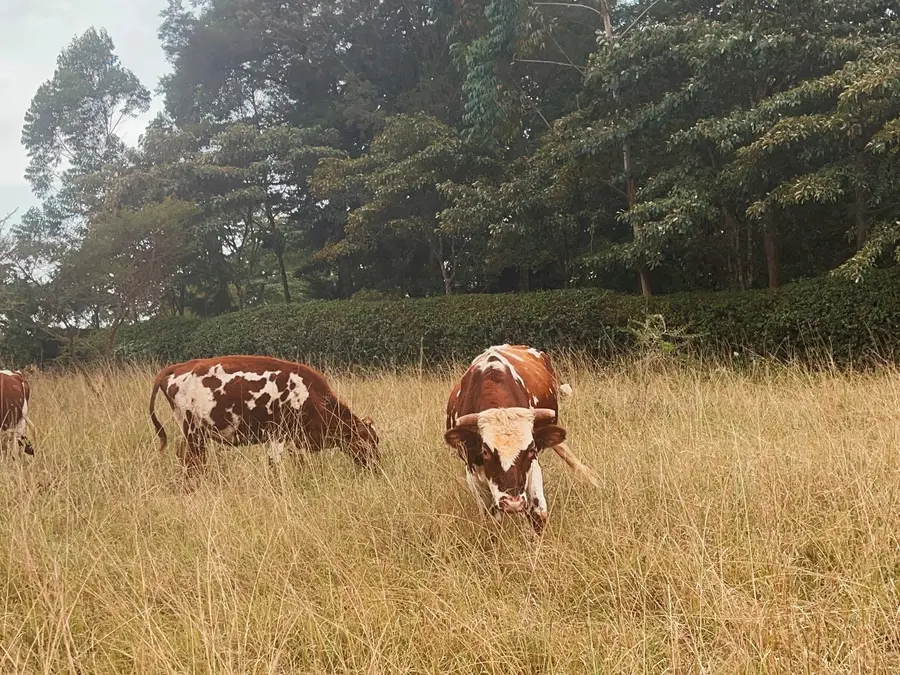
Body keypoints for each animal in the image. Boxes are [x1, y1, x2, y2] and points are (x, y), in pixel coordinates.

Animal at [149, 355, 380, 475]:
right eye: (365, 441)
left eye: (376, 440)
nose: (377, 467)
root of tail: (178, 368)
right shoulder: (277, 434)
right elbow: (275, 464)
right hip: (194, 433)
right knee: (193, 461)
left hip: (192, 435)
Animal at [444, 344, 598, 532]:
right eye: (485, 452)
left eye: (530, 450)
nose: (512, 503)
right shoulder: (472, 473)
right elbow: (491, 522)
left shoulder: (533, 467)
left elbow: (538, 514)